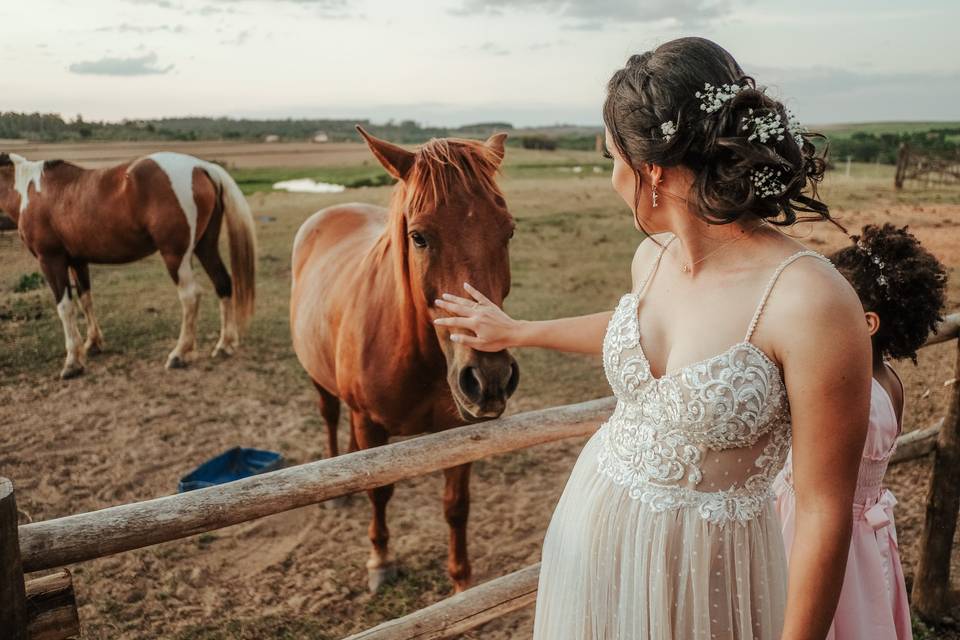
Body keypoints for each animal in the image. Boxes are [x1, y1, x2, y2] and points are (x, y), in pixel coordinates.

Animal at [0, 152, 255, 378]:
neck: (28, 190)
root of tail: (200, 166)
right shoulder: (77, 260)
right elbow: (85, 300)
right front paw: (92, 344)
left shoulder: (51, 260)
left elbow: (65, 308)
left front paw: (72, 362)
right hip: (205, 246)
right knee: (223, 283)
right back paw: (224, 345)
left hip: (176, 255)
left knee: (190, 296)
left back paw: (179, 354)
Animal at [290, 127, 516, 592]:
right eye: (419, 237)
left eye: (508, 232)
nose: (489, 379)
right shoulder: (371, 424)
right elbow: (379, 491)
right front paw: (380, 560)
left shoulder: (459, 432)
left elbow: (456, 506)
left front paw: (462, 583)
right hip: (321, 383)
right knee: (329, 418)